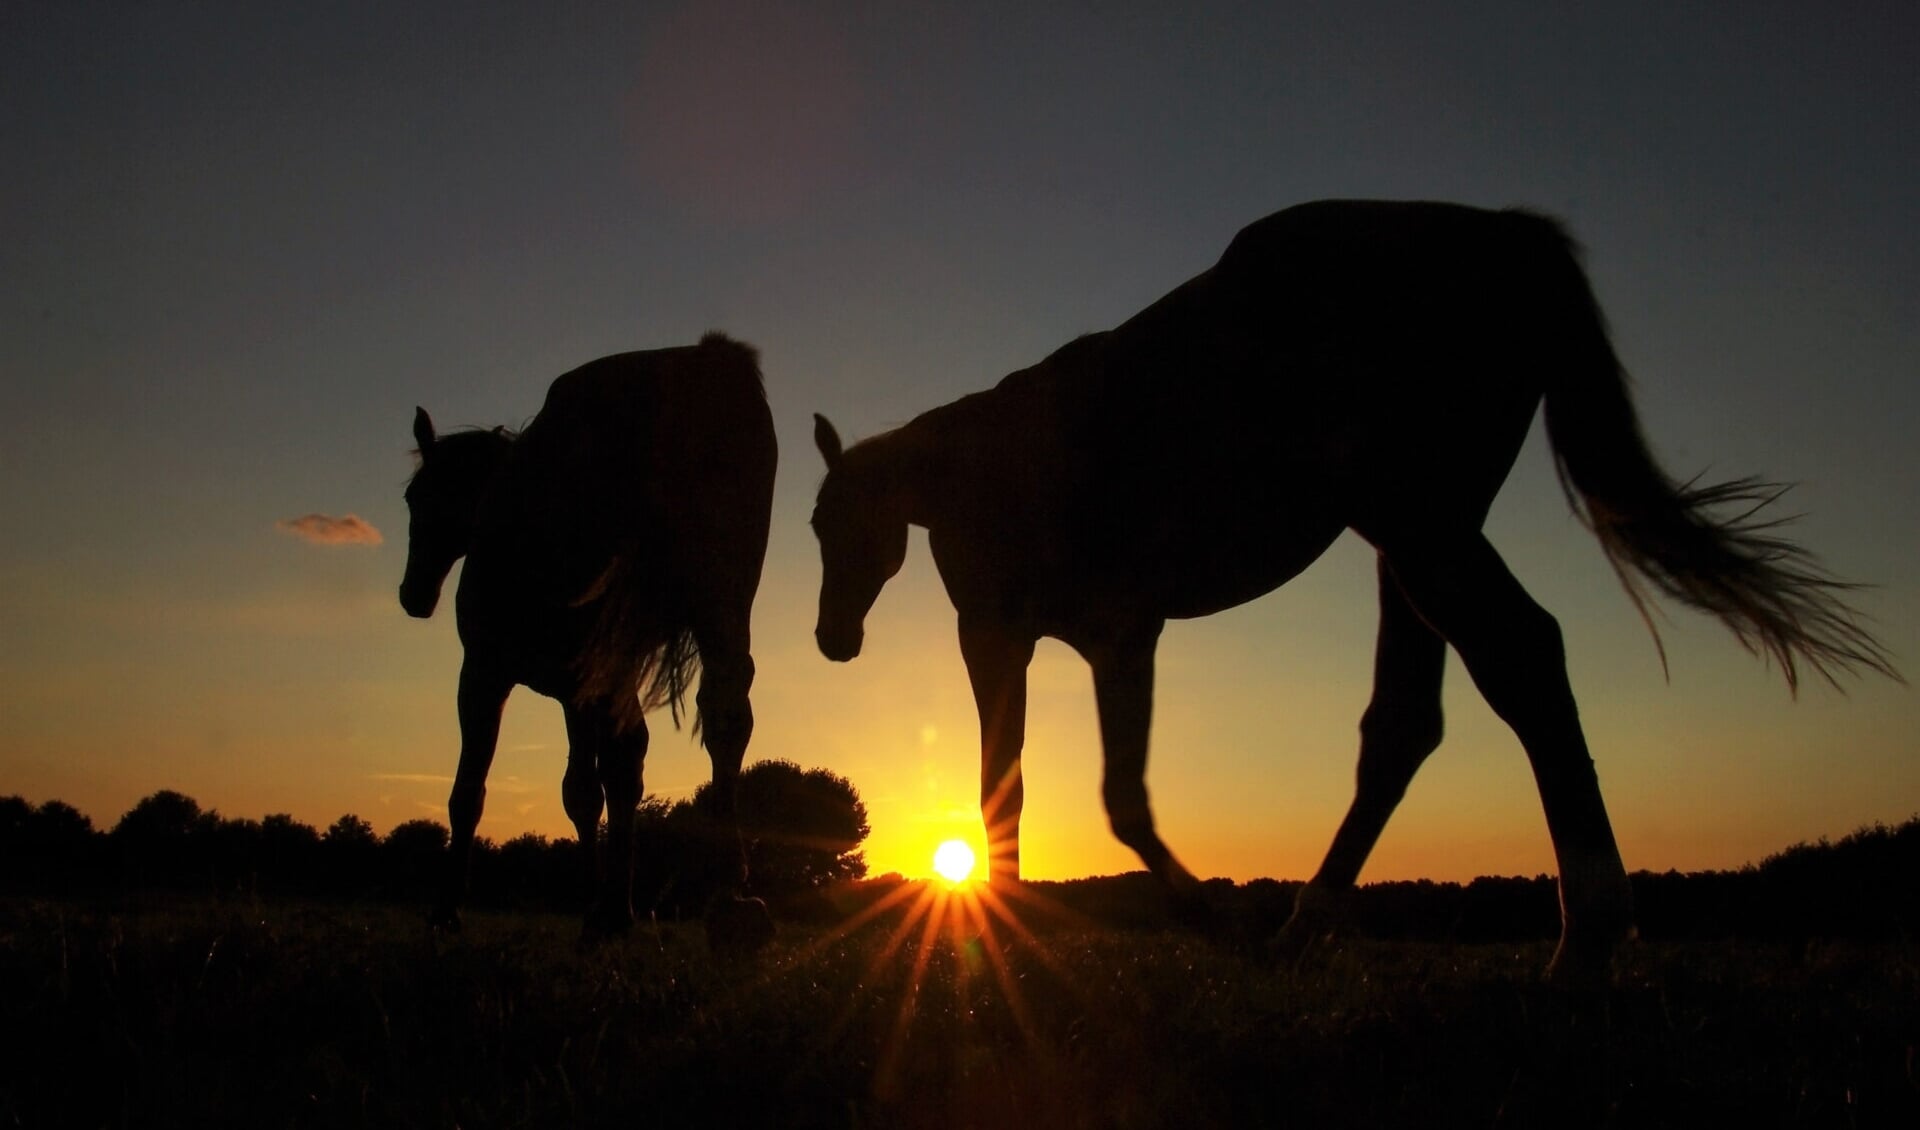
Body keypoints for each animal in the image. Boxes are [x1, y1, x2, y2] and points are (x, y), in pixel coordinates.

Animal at [401, 329, 775, 940]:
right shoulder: (583, 690)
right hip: (718, 611)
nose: (414, 594)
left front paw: (447, 908)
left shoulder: (486, 671)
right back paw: (727, 896)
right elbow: (595, 785)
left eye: (418, 498)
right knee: (724, 719)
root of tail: (708, 359)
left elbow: (474, 790)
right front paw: (609, 902)